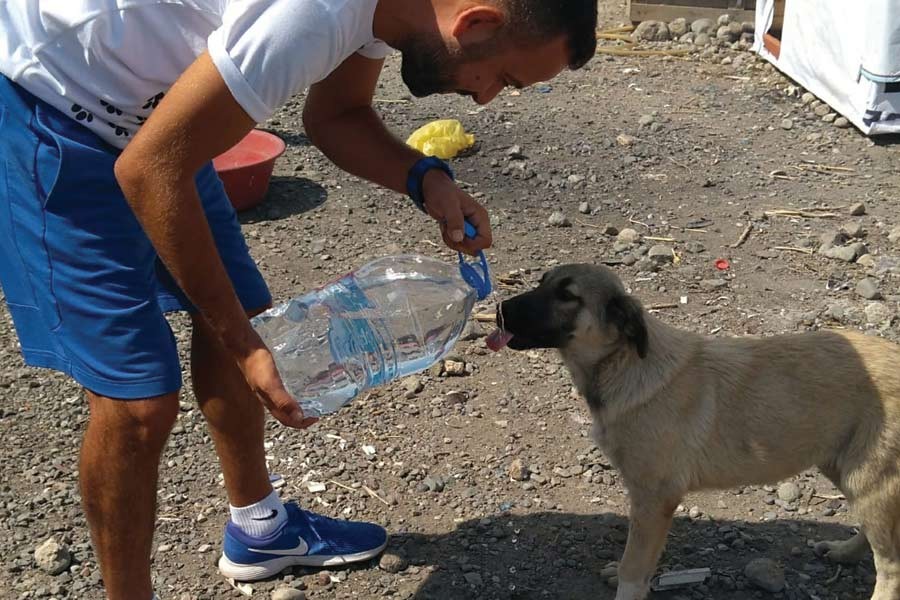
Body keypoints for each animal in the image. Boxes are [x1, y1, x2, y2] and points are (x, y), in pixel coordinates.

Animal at [492, 264, 900, 600]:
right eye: (542, 281)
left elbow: (633, 567)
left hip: (869, 478)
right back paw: (844, 553)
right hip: (846, 468)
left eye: (568, 295)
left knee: (891, 564)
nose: (499, 310)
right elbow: (641, 559)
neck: (625, 364)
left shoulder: (655, 498)